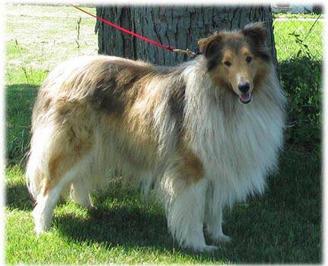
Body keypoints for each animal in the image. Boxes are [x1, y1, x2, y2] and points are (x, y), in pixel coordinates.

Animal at [26, 22, 286, 251]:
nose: (244, 87)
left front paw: (219, 237)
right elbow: (194, 212)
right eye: (227, 63)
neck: (223, 98)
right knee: (49, 190)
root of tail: (58, 73)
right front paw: (199, 245)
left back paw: (88, 207)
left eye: (249, 58)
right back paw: (42, 229)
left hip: (95, 147)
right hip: (73, 146)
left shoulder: (217, 165)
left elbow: (214, 209)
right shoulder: (191, 169)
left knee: (78, 180)